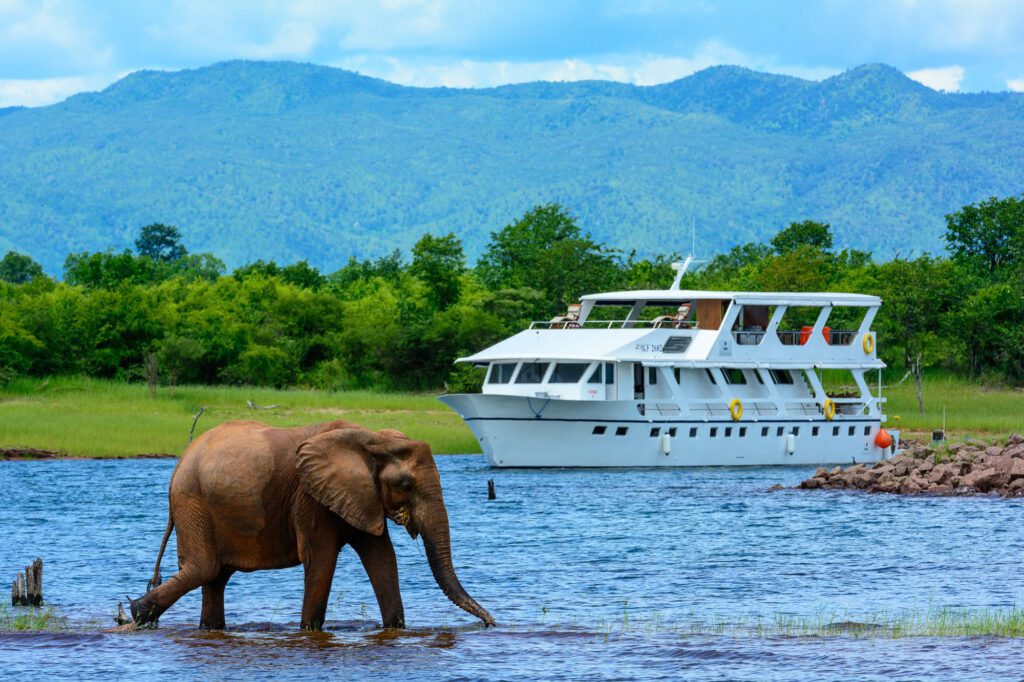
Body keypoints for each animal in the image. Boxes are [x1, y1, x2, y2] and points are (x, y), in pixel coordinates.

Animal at [130, 417, 493, 630]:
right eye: (405, 485)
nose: (490, 622)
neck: (372, 439)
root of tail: (178, 463)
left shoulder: (360, 496)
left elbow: (381, 558)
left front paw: (395, 630)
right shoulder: (310, 496)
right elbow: (321, 559)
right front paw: (308, 631)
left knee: (216, 576)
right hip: (193, 502)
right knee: (203, 568)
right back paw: (136, 614)